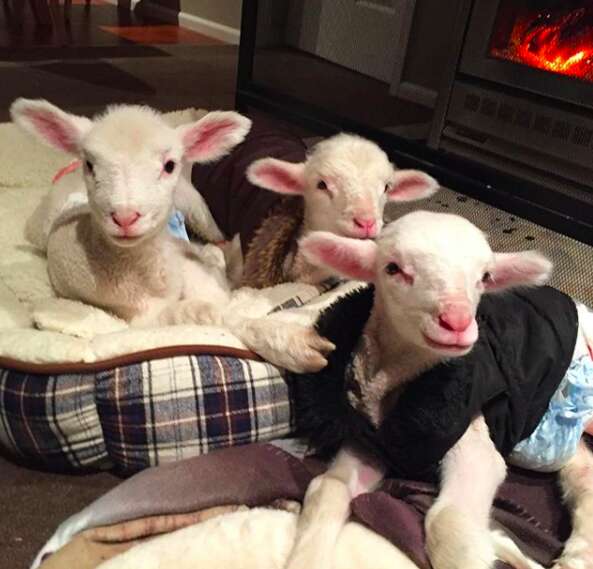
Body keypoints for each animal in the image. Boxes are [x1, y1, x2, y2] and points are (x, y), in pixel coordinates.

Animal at [9, 97, 336, 372]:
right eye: (90, 164)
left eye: (169, 165)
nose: (125, 217)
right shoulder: (140, 317)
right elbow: (206, 314)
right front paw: (289, 342)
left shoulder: (198, 274)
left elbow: (218, 300)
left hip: (194, 204)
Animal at [280, 211, 592, 568]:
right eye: (392, 268)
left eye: (484, 277)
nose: (456, 322)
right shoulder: (372, 444)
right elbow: (327, 486)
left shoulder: (471, 436)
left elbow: (449, 520)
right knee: (584, 476)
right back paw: (575, 555)